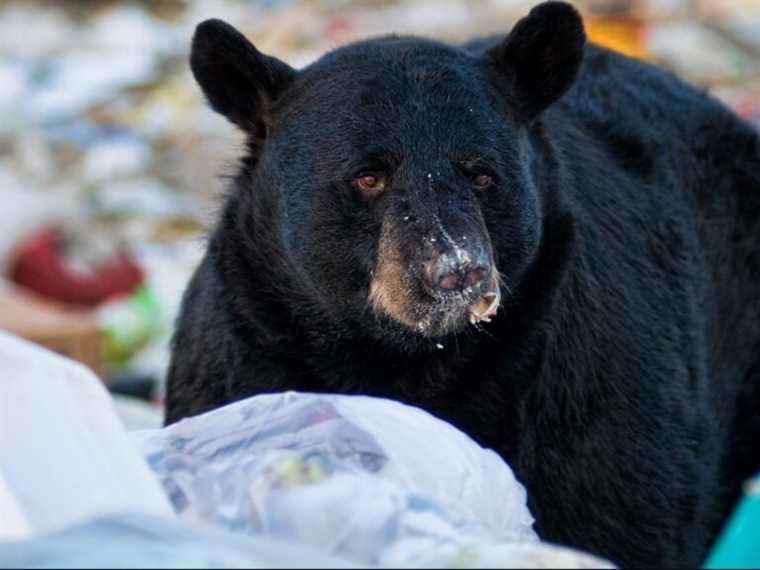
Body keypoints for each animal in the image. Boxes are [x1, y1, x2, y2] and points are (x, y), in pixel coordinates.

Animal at [168, 3, 760, 564]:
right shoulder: (245, 352)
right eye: (368, 176)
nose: (457, 270)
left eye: (481, 173)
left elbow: (618, 510)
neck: (413, 362)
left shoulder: (593, 392)